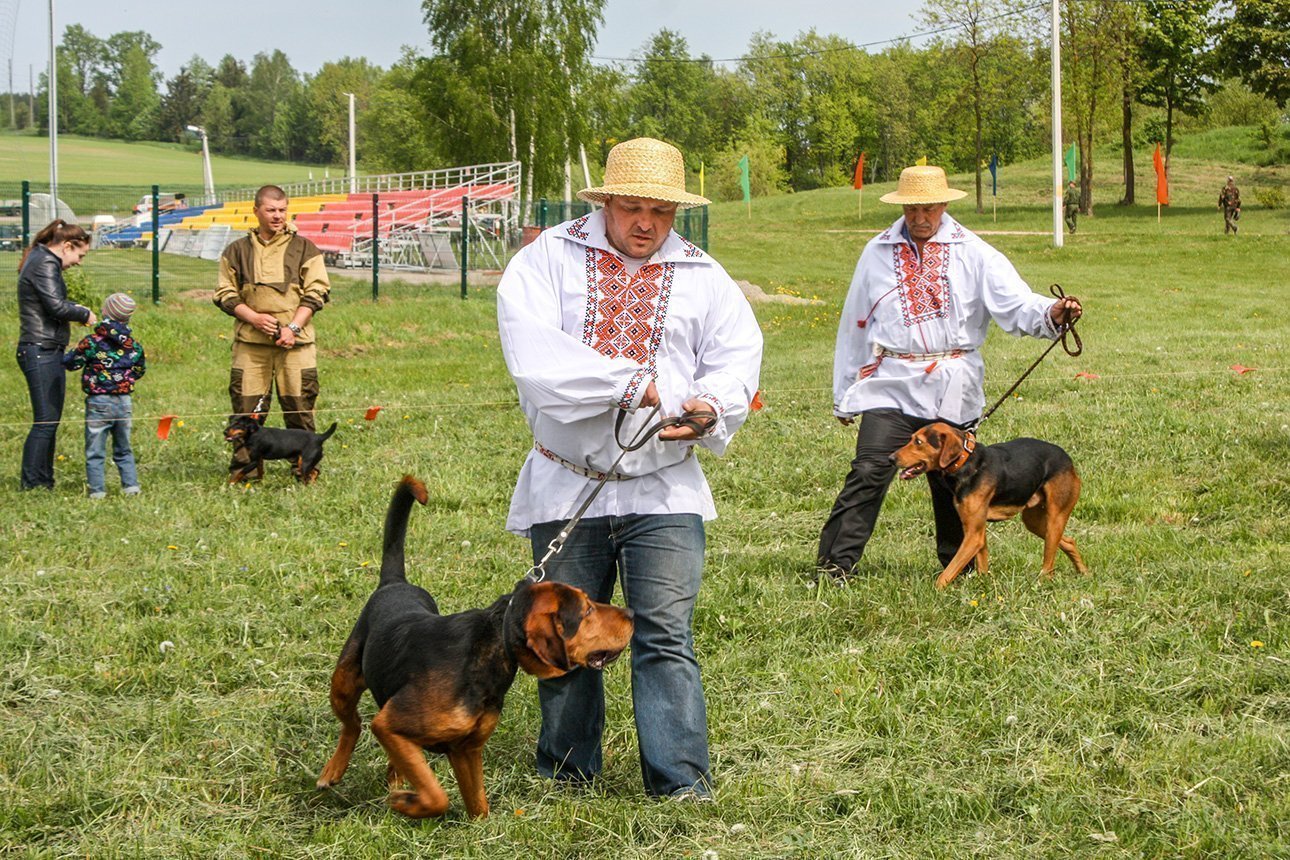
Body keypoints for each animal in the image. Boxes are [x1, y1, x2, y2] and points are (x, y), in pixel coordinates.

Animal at [314, 477, 632, 820]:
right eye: (586, 611)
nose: (631, 614)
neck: (494, 644)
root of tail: (394, 582)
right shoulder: (388, 725)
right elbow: (436, 795)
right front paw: (407, 802)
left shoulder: (465, 748)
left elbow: (478, 803)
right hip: (343, 683)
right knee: (353, 724)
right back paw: (332, 771)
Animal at [897, 425, 1088, 593]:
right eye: (911, 439)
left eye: (919, 442)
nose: (892, 458)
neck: (966, 462)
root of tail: (1068, 459)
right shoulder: (977, 531)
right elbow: (982, 565)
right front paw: (983, 585)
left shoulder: (973, 536)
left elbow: (947, 573)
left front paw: (934, 592)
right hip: (1034, 522)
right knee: (1069, 542)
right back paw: (1084, 572)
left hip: (1055, 519)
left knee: (1049, 565)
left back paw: (1043, 582)